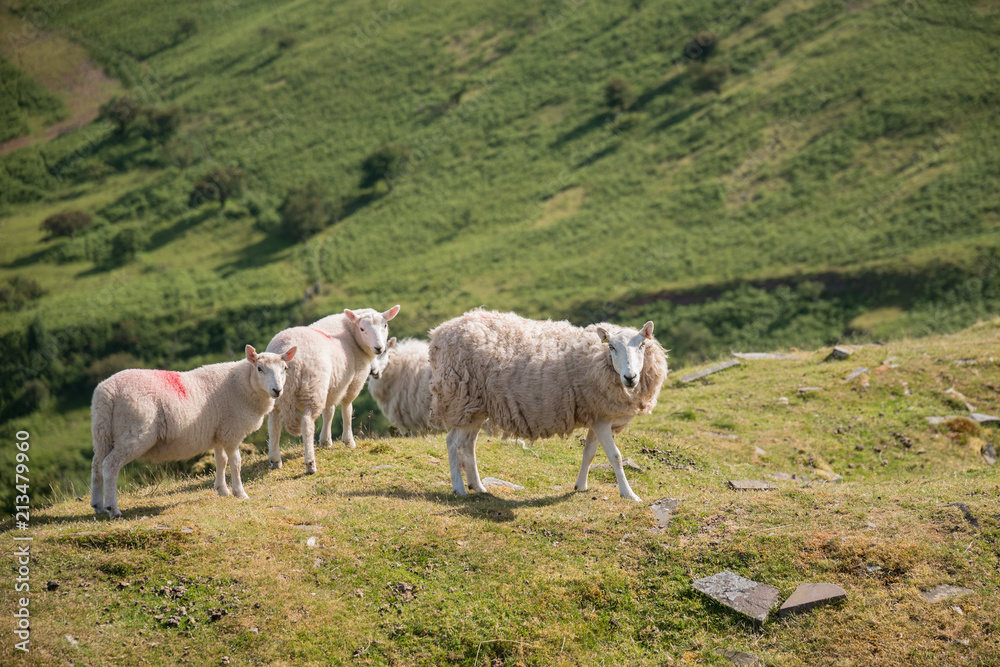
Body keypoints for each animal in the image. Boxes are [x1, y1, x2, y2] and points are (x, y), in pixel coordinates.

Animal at [90, 345, 296, 518]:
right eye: (260, 368)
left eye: (285, 368)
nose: (277, 390)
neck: (242, 385)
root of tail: (107, 392)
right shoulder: (231, 433)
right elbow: (236, 463)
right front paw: (240, 493)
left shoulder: (218, 432)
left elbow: (221, 461)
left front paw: (222, 490)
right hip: (133, 433)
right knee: (110, 465)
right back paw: (113, 509)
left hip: (102, 433)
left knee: (96, 465)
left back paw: (98, 506)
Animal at [265, 305, 400, 473]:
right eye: (362, 329)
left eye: (385, 326)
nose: (379, 348)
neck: (350, 334)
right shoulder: (352, 381)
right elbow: (347, 409)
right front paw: (348, 441)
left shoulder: (333, 383)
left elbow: (329, 412)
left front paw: (325, 441)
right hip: (313, 388)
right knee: (307, 423)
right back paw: (310, 464)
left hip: (276, 392)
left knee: (273, 423)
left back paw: (275, 460)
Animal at [428, 309, 668, 502]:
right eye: (611, 347)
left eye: (642, 345)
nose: (630, 377)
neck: (596, 360)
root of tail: (440, 332)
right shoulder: (601, 418)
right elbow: (615, 457)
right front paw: (629, 494)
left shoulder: (597, 414)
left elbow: (589, 453)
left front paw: (581, 486)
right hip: (460, 397)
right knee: (452, 443)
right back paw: (459, 488)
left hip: (475, 407)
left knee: (468, 445)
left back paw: (477, 486)